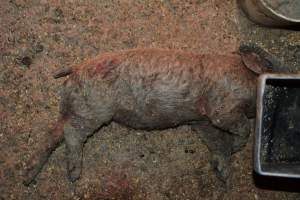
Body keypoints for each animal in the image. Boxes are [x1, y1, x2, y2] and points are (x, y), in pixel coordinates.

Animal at [22, 44, 280, 185]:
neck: (247, 80)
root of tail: (76, 68)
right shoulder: (220, 108)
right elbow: (243, 127)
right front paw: (237, 148)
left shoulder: (200, 120)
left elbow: (216, 142)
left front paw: (223, 174)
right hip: (93, 108)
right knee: (71, 133)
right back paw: (74, 174)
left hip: (75, 107)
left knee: (53, 134)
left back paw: (27, 176)